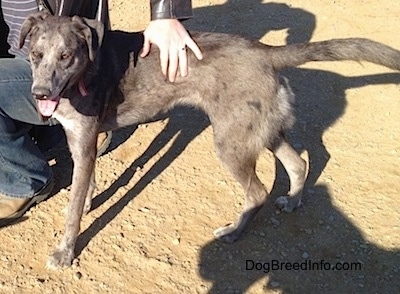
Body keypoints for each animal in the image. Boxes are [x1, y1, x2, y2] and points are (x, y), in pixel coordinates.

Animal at [19, 12, 400, 268]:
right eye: (35, 55)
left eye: (66, 56)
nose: (40, 95)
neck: (84, 72)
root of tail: (264, 51)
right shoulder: (84, 141)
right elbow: (86, 186)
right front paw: (86, 203)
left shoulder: (84, 142)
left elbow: (72, 210)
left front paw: (64, 252)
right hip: (260, 130)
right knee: (298, 164)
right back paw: (292, 201)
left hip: (230, 142)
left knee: (258, 191)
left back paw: (234, 230)